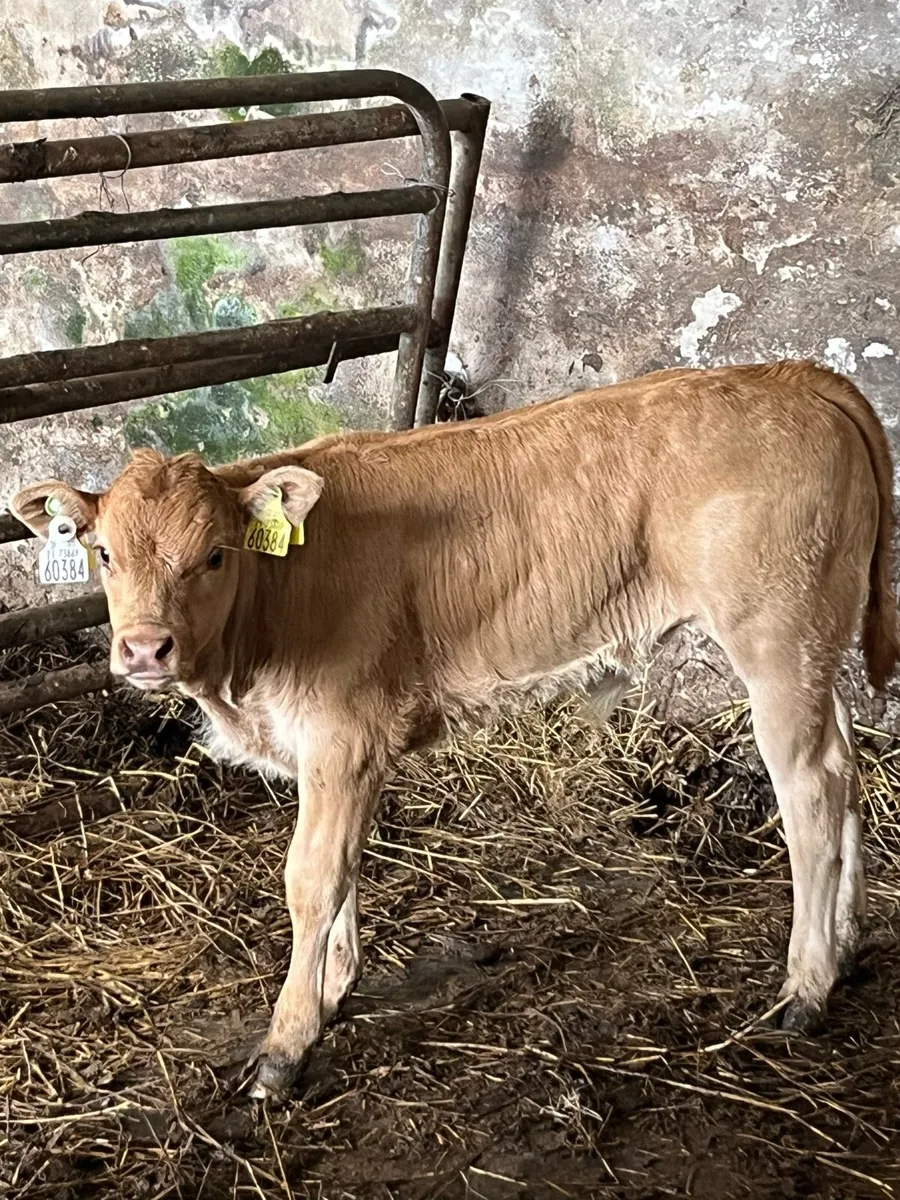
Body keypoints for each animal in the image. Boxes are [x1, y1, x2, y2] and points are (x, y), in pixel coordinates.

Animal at [11, 359, 898, 1100]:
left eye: (216, 556)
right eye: (103, 553)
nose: (144, 649)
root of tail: (792, 375)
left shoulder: (343, 734)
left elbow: (312, 878)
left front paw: (286, 1045)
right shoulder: (337, 752)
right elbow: (347, 867)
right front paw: (334, 989)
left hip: (775, 641)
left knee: (810, 792)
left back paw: (805, 987)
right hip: (816, 645)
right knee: (845, 767)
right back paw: (848, 943)